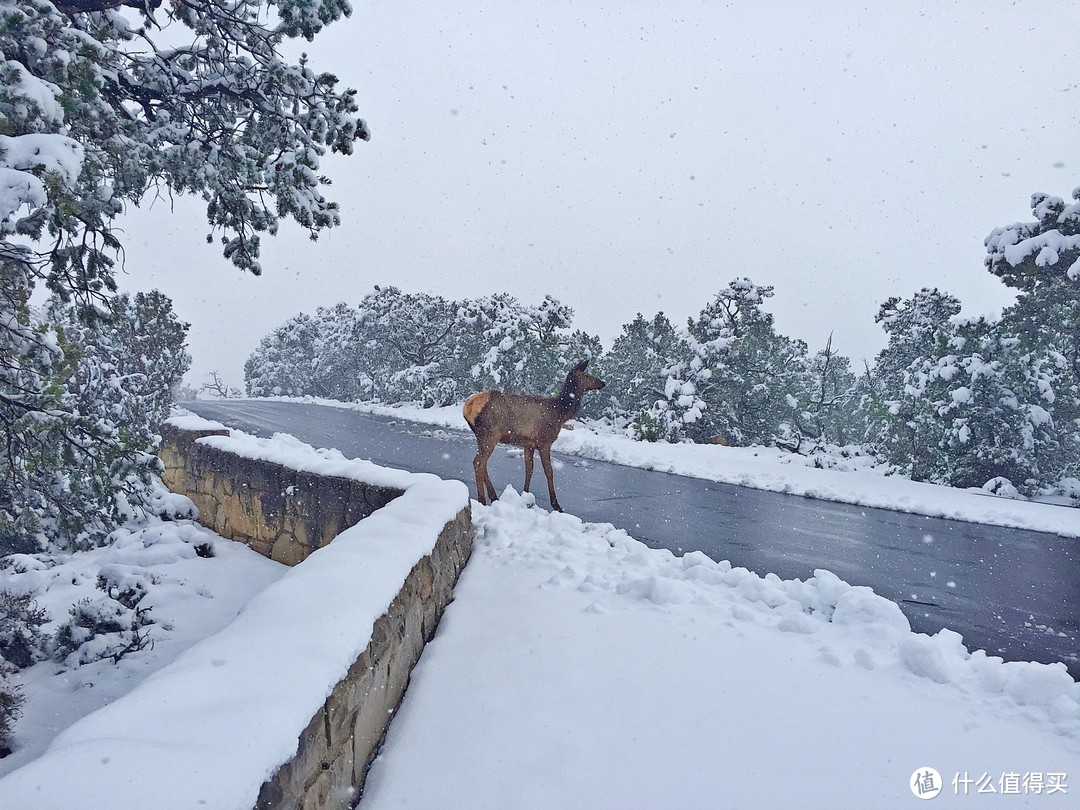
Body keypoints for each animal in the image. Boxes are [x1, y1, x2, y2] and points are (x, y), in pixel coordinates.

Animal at [460, 360, 604, 514]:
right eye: (587, 375)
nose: (602, 383)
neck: (560, 413)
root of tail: (468, 406)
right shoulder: (544, 441)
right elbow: (549, 471)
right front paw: (556, 505)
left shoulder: (528, 444)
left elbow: (529, 469)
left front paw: (525, 496)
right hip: (490, 435)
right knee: (478, 462)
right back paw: (482, 500)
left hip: (480, 436)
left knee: (482, 463)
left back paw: (494, 497)